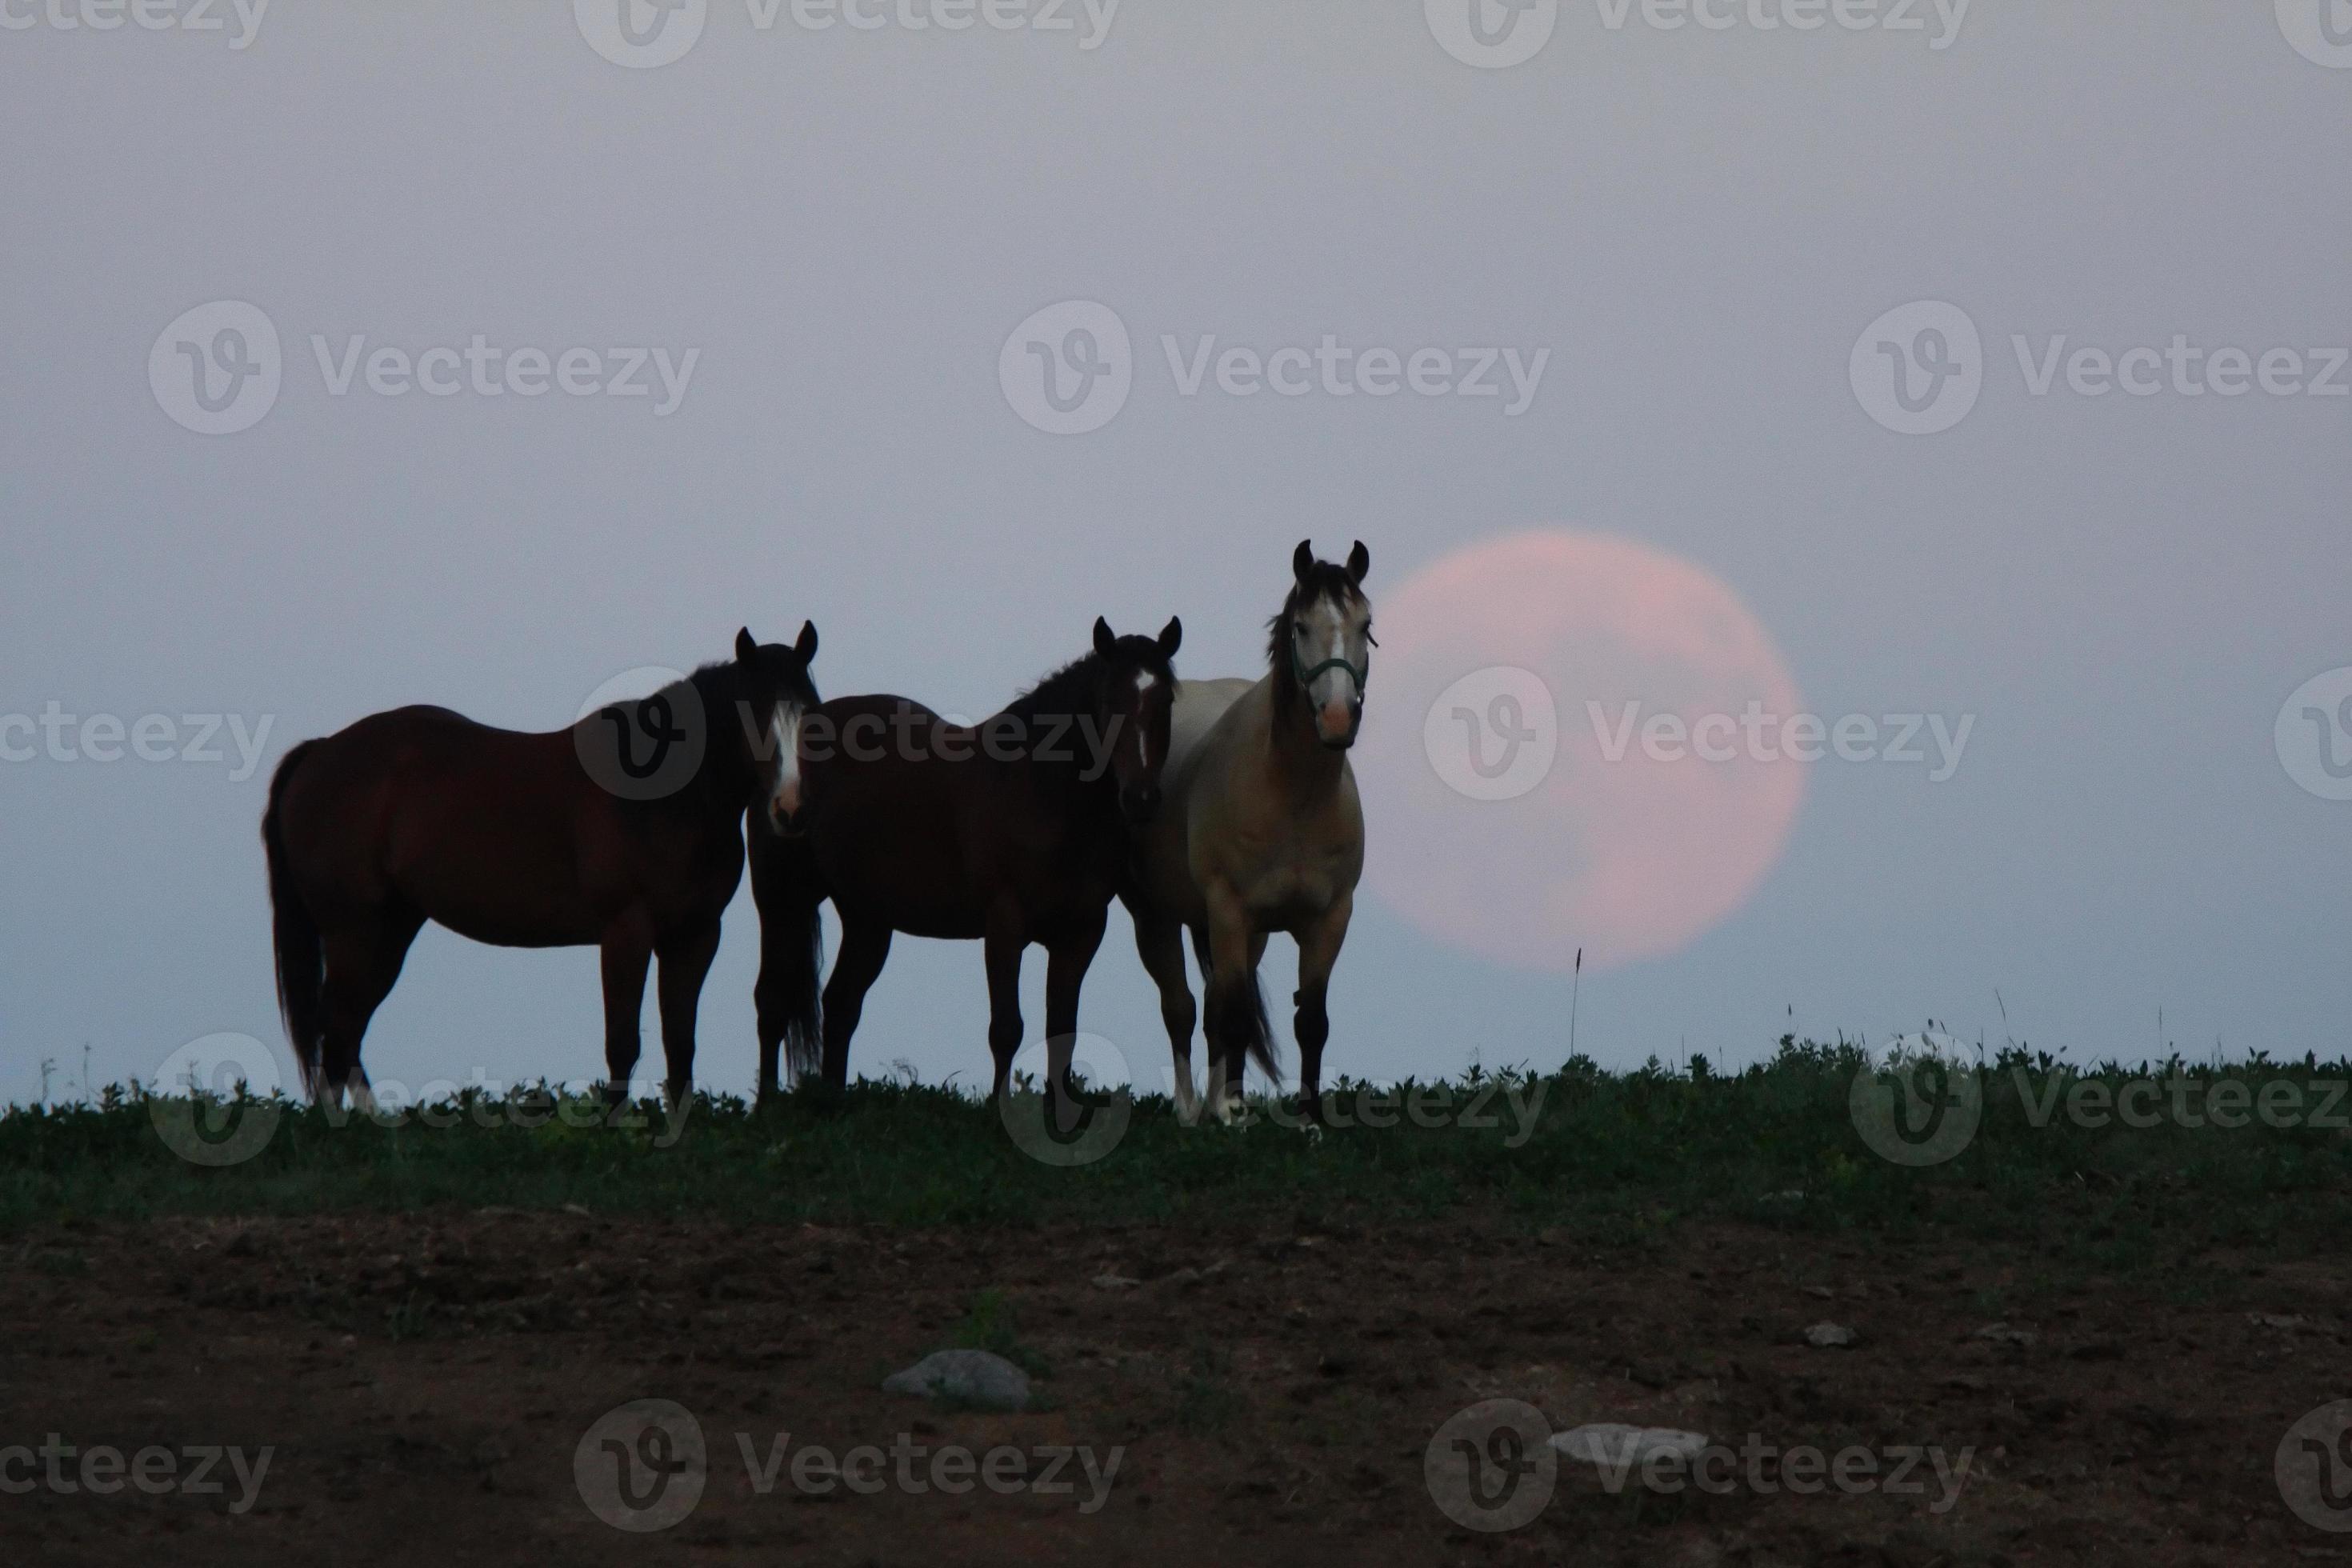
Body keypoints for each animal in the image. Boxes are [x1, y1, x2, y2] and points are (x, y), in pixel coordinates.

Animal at [258, 620, 823, 1109]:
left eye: (813, 718)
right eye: (752, 716)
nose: (791, 811)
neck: (663, 798)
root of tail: (321, 752)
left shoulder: (696, 935)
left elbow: (680, 1044)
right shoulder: (627, 932)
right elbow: (623, 1043)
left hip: (390, 929)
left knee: (346, 1032)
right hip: (353, 930)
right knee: (336, 1032)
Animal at [747, 620, 1176, 1109]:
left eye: (1167, 701)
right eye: (1109, 702)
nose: (1140, 799)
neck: (1041, 789)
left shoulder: (1081, 933)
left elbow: (1062, 1029)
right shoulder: (1005, 925)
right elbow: (1007, 1029)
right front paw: (996, 1110)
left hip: (866, 919)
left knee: (840, 1005)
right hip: (781, 899)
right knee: (772, 1002)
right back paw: (764, 1106)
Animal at [1124, 542, 1373, 1128]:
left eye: (1366, 625)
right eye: (1301, 626)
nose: (1337, 718)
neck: (1295, 800)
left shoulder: (1329, 919)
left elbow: (1311, 1020)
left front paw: (1310, 1120)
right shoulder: (1228, 910)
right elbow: (1230, 1014)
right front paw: (1233, 1113)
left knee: (1215, 1007)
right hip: (1157, 919)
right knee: (1183, 1007)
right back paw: (1192, 1108)